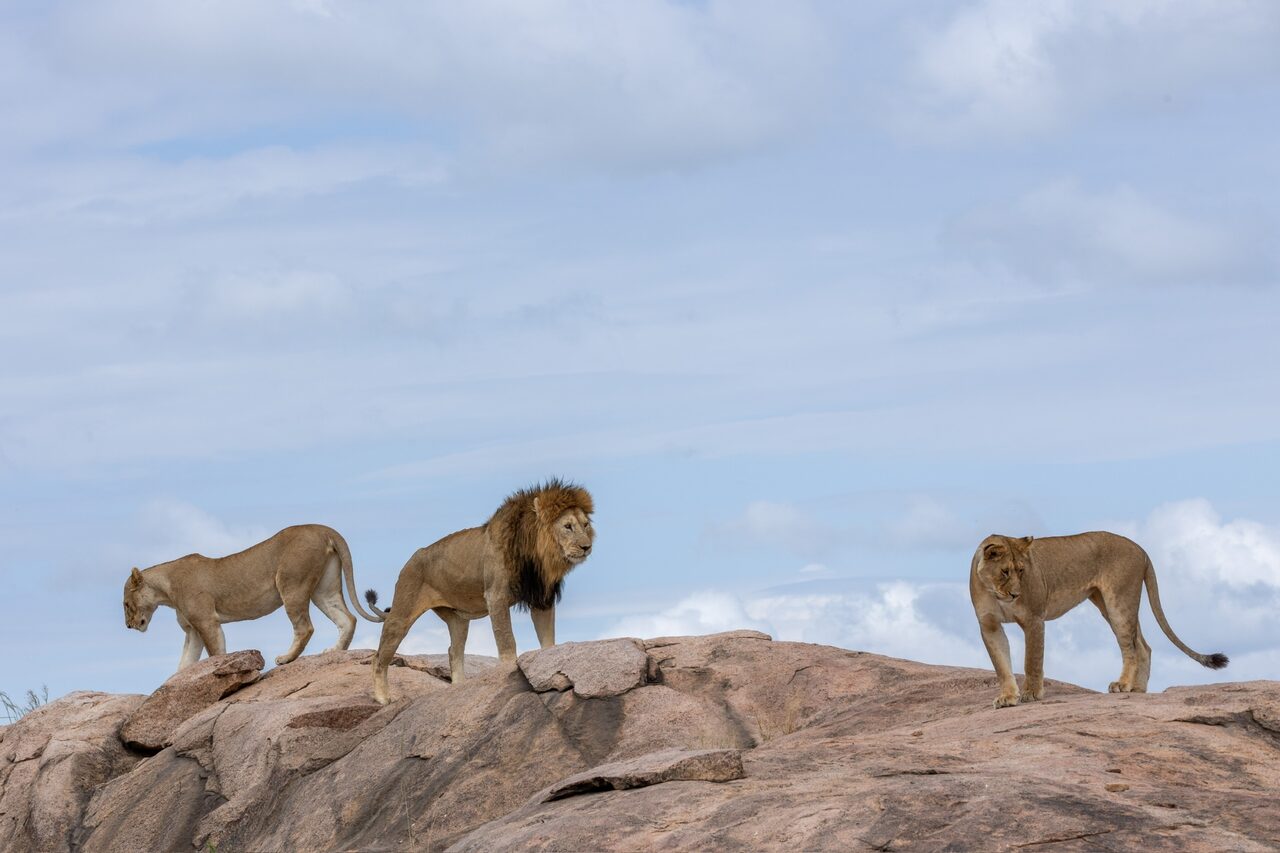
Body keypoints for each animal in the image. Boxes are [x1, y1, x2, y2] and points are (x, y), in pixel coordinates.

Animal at [124, 524, 385, 671]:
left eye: (126, 604)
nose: (128, 625)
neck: (166, 592)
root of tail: (324, 529)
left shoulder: (207, 622)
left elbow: (216, 653)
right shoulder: (193, 630)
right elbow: (185, 662)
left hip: (292, 584)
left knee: (305, 627)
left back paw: (286, 659)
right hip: (324, 589)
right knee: (347, 619)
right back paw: (334, 651)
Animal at [368, 479, 595, 705]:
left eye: (585, 525)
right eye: (567, 526)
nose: (587, 547)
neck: (537, 555)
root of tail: (412, 557)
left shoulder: (541, 599)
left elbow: (548, 640)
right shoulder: (496, 597)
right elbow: (507, 640)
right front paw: (509, 672)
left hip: (458, 619)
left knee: (454, 651)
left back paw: (458, 689)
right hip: (401, 614)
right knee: (379, 657)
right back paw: (382, 698)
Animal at [970, 531, 1227, 708]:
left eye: (1022, 571)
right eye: (1005, 571)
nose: (1016, 594)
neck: (994, 591)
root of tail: (1140, 549)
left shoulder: (1034, 619)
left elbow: (1031, 661)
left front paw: (1031, 694)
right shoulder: (989, 626)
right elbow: (1001, 665)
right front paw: (1007, 697)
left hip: (1119, 602)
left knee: (1131, 647)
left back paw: (1123, 685)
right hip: (1109, 604)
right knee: (1143, 646)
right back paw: (1137, 689)